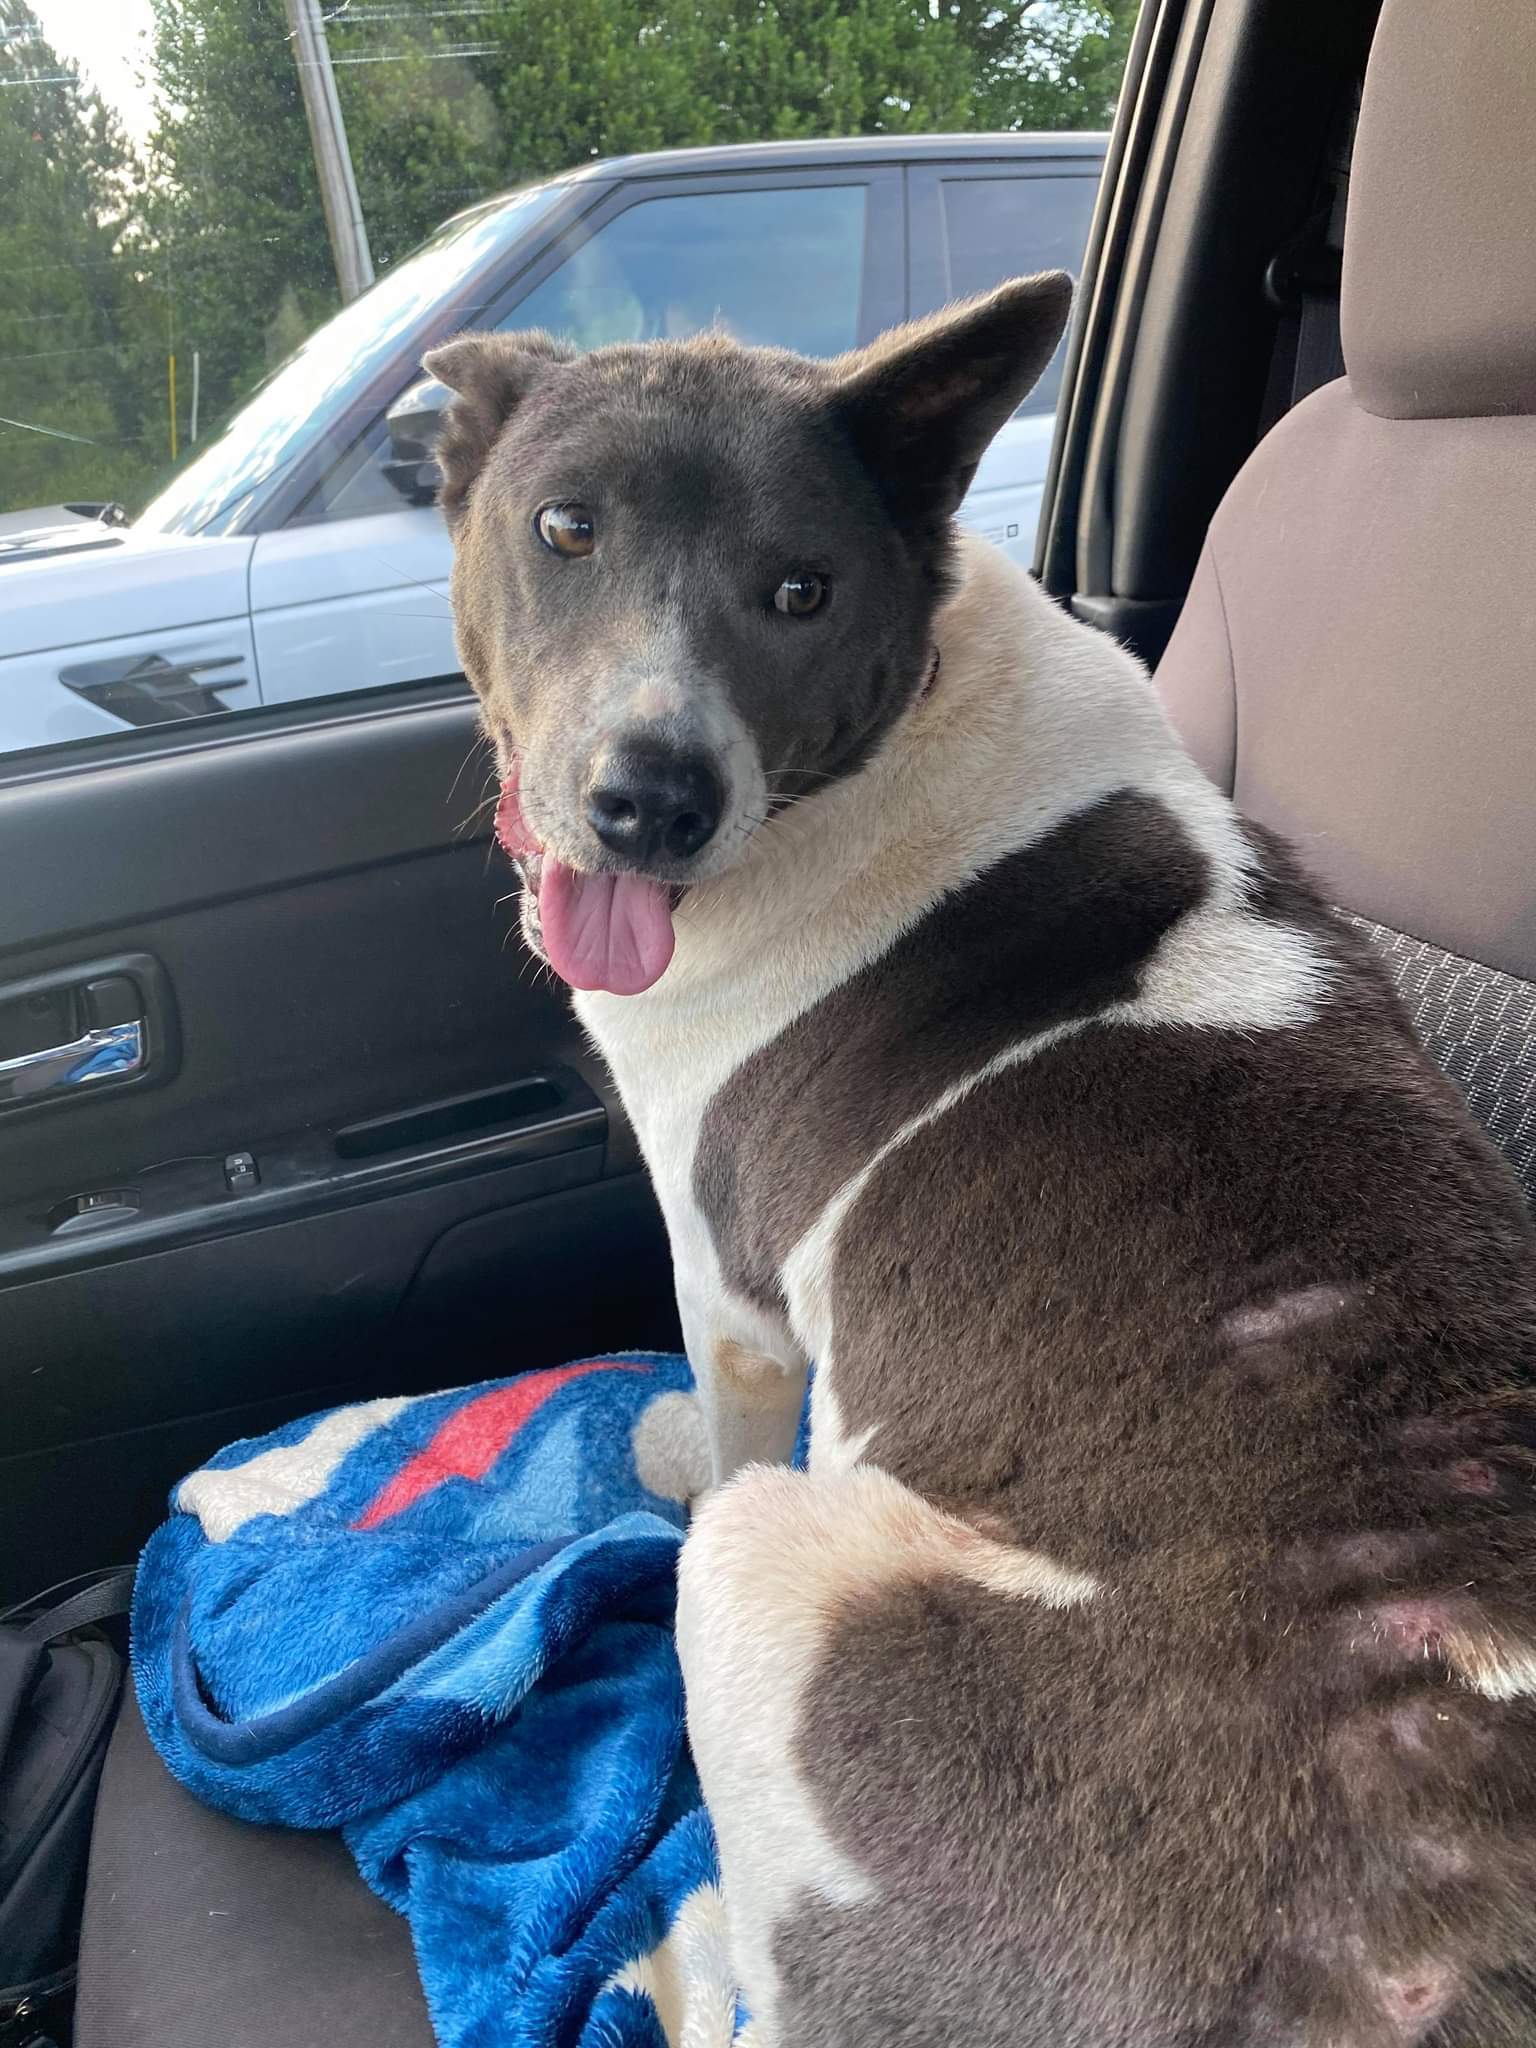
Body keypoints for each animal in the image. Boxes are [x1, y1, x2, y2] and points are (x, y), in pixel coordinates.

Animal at [428, 276, 1536, 2048]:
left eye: (800, 590)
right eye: (565, 528)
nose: (651, 802)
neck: (897, 719)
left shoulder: (728, 1286)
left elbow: (728, 1417)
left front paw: (674, 1448)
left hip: (783, 1588)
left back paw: (684, 1953)